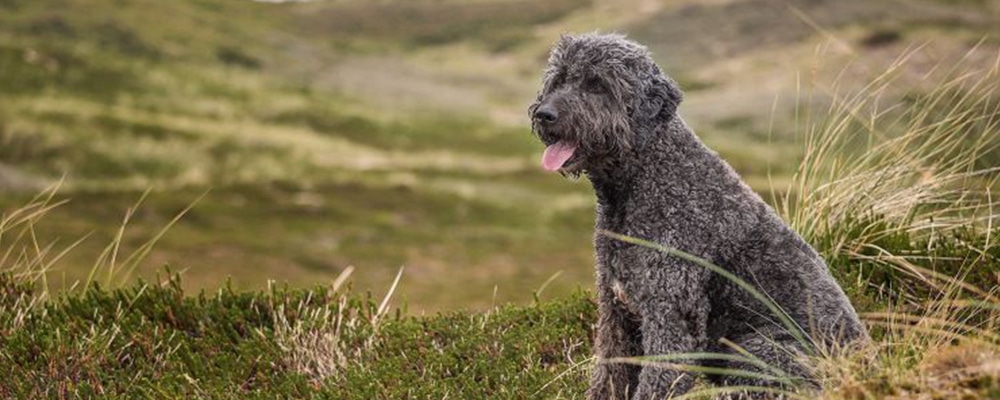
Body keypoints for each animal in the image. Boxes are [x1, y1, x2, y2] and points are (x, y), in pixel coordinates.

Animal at [532, 32, 868, 398]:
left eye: (597, 84)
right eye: (560, 78)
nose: (545, 114)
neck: (646, 175)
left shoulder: (670, 316)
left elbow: (657, 381)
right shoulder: (616, 314)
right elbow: (609, 376)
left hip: (761, 350)